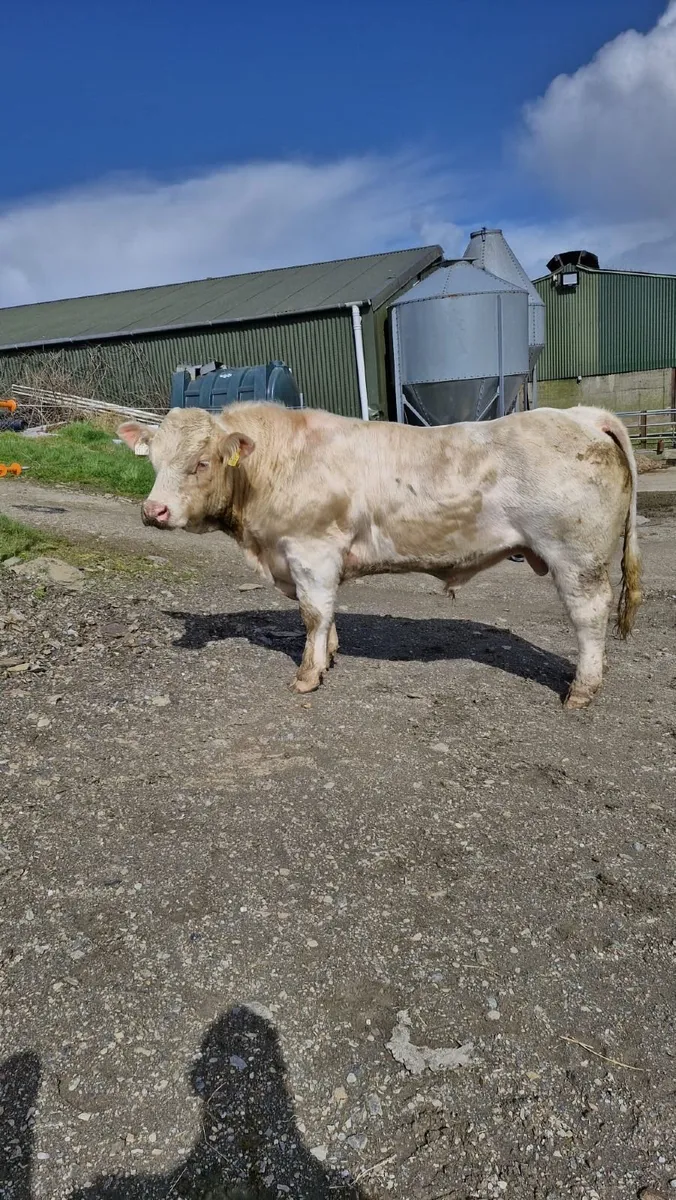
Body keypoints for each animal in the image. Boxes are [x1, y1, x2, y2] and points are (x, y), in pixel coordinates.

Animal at [118, 403, 641, 709]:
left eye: (201, 462)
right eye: (154, 460)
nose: (153, 510)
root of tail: (581, 414)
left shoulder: (310, 548)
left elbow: (312, 613)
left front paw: (307, 675)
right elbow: (326, 612)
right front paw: (328, 656)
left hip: (576, 554)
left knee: (588, 615)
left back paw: (581, 690)